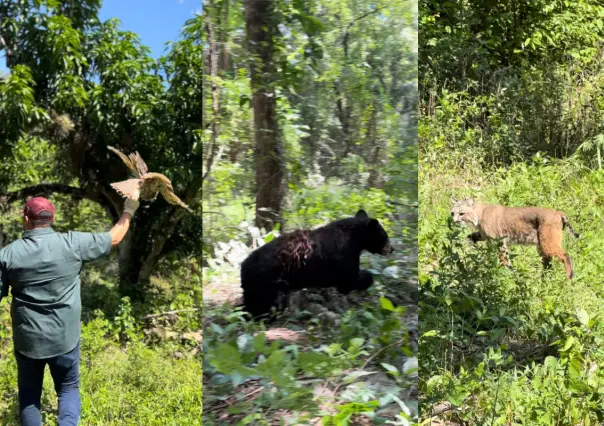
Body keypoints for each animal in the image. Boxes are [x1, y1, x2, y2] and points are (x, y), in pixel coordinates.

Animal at [238, 211, 394, 320]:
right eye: (385, 236)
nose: (392, 249)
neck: (354, 238)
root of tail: (243, 267)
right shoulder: (345, 258)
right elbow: (349, 280)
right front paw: (367, 278)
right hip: (268, 284)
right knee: (265, 305)